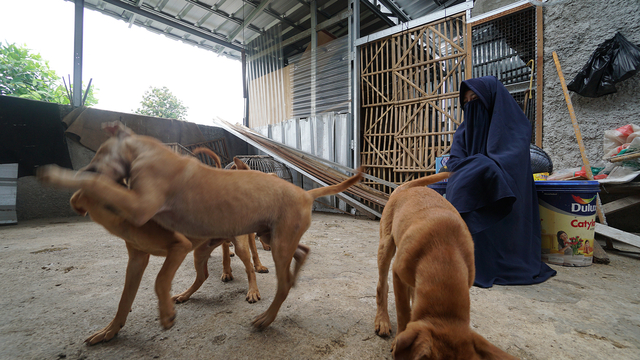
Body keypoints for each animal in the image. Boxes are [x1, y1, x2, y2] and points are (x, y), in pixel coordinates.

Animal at [37, 123, 362, 330]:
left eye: (100, 152)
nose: (87, 167)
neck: (146, 152)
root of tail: (305, 193)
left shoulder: (141, 207)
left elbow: (97, 185)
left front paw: (58, 175)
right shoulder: (141, 250)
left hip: (269, 242)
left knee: (278, 283)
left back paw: (266, 317)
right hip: (271, 236)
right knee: (299, 251)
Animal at [376, 173, 516, 358]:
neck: (444, 253)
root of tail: (405, 187)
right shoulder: (398, 273)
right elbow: (403, 311)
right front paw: (399, 336)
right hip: (386, 245)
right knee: (382, 286)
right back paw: (382, 321)